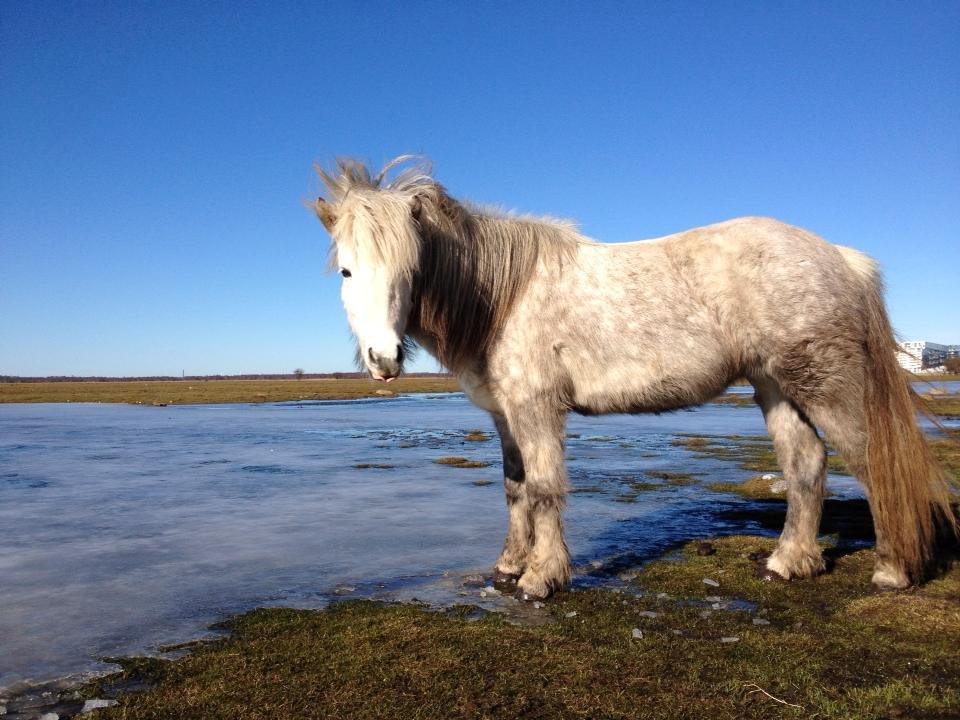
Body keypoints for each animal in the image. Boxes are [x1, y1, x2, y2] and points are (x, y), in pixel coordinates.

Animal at [314, 159, 952, 600]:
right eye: (345, 270)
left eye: (411, 267)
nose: (384, 358)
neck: (503, 296)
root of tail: (841, 257)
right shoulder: (504, 415)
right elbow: (515, 490)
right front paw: (509, 565)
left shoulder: (537, 408)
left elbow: (543, 489)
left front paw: (540, 579)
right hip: (776, 387)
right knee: (806, 466)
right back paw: (788, 562)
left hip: (825, 385)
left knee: (871, 461)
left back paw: (892, 571)